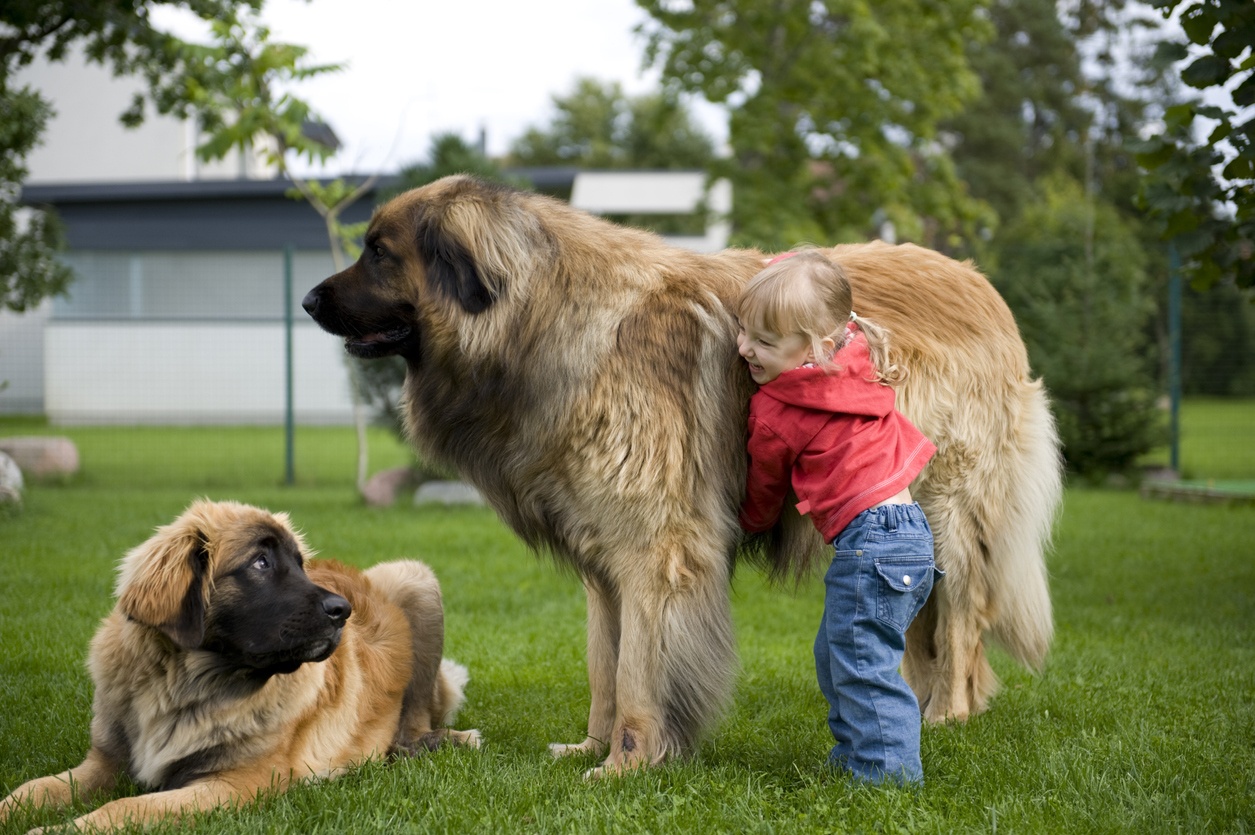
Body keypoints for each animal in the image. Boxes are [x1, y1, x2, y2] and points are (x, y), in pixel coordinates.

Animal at [0, 497, 479, 828]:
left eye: (300, 566)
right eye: (260, 562)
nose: (343, 611)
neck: (184, 685)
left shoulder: (232, 783)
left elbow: (121, 808)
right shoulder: (103, 764)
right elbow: (30, 790)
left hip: (415, 578)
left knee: (412, 723)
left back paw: (440, 742)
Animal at [303, 174, 1059, 773]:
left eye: (379, 251)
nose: (309, 301)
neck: (543, 317)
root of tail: (979, 282)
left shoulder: (657, 549)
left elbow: (640, 672)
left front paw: (627, 765)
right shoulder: (604, 560)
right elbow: (604, 666)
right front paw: (591, 747)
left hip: (946, 511)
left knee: (959, 616)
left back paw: (947, 713)